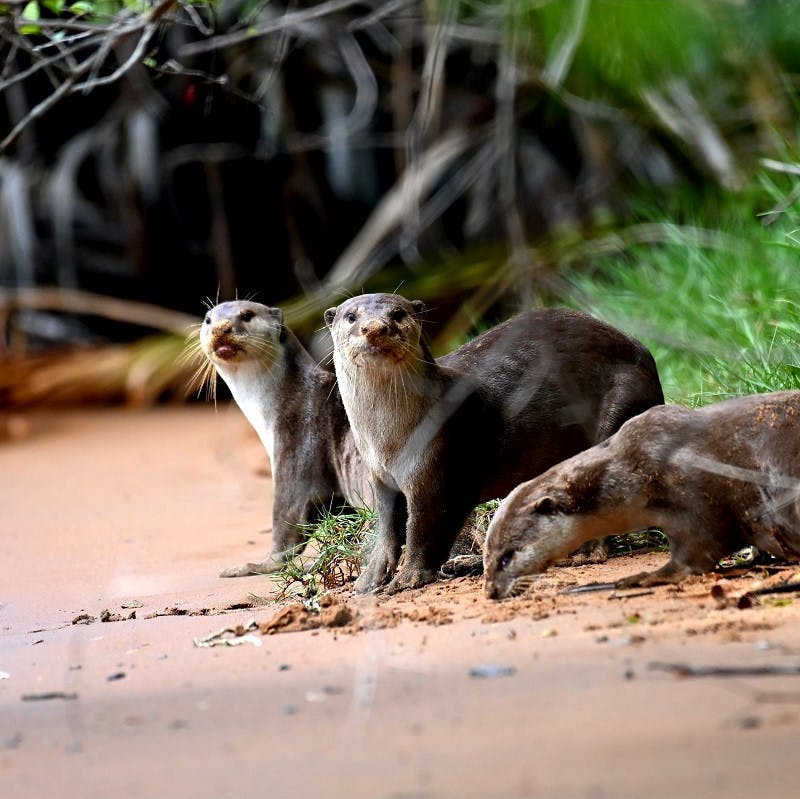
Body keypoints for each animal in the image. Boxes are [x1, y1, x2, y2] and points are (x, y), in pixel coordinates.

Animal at [198, 304, 370, 580]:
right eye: (208, 319)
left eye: (247, 315)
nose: (222, 327)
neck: (291, 398)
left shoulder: (298, 442)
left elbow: (287, 522)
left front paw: (252, 566)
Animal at [324, 294, 664, 592]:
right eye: (351, 316)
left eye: (397, 314)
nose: (375, 328)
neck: (390, 443)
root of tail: (645, 354)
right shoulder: (380, 477)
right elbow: (387, 530)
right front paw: (369, 579)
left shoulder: (442, 472)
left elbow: (425, 529)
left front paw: (409, 578)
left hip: (621, 405)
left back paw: (582, 553)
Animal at [482, 390, 800, 596]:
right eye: (487, 558)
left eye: (507, 557)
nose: (490, 591)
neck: (633, 472)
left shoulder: (694, 503)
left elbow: (696, 555)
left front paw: (642, 578)